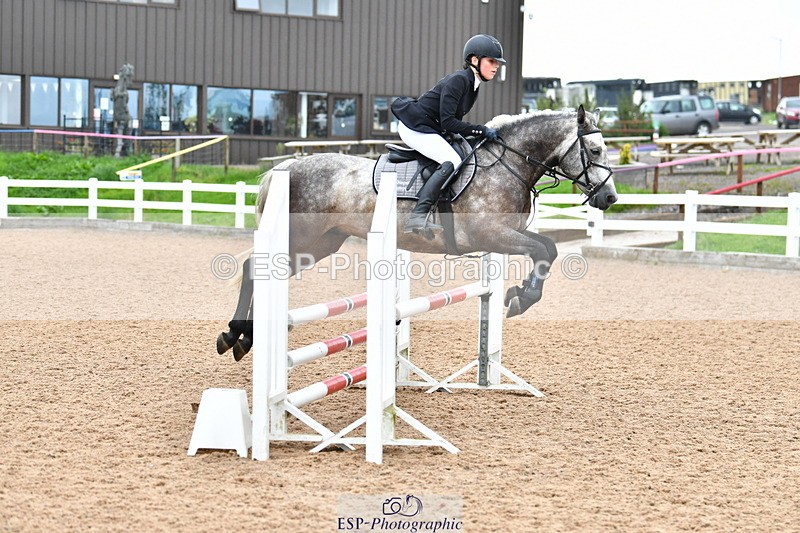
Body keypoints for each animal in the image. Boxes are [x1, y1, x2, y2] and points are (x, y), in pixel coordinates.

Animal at [218, 105, 618, 361]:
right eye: (594, 149)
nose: (610, 197)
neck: (510, 164)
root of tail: (286, 166)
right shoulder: (491, 234)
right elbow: (545, 250)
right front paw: (521, 298)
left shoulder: (505, 236)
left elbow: (546, 250)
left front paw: (518, 295)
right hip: (300, 239)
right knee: (254, 268)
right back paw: (235, 333)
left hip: (320, 244)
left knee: (266, 273)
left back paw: (246, 338)